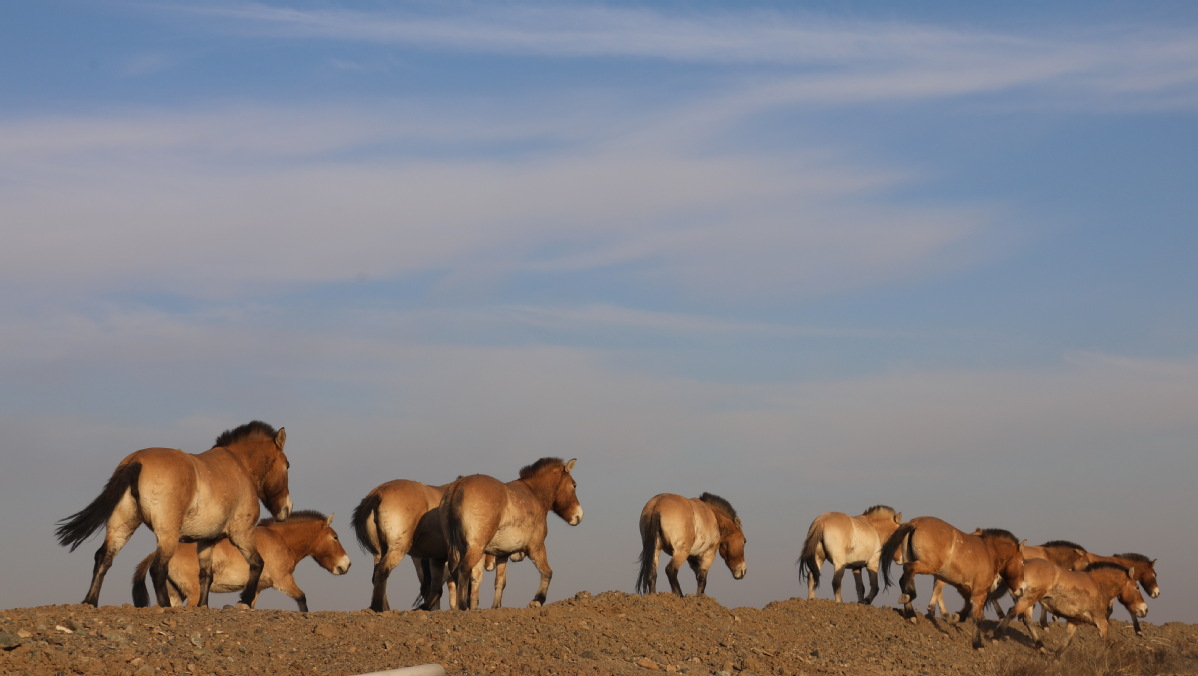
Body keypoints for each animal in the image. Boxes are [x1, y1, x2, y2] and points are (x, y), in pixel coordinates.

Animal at [53, 421, 292, 606]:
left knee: (104, 557)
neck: (238, 466)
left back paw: (90, 601)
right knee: (157, 568)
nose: (286, 509)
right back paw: (165, 606)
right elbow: (257, 563)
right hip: (167, 534)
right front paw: (244, 600)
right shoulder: (242, 533)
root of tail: (136, 460)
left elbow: (206, 575)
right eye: (287, 465)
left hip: (122, 525)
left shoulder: (206, 540)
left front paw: (203, 606)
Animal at [130, 512, 349, 613]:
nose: (346, 565)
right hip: (193, 594)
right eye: (335, 537)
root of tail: (155, 554)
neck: (280, 538)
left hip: (176, 594)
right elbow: (302, 599)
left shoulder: (257, 589)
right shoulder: (283, 580)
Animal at [445, 457, 584, 608]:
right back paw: (462, 607)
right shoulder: (536, 547)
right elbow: (547, 572)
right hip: (476, 548)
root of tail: (458, 485)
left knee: (455, 573)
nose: (579, 515)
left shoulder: (502, 554)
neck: (533, 493)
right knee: (464, 569)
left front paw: (496, 607)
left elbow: (500, 583)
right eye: (574, 485)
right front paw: (537, 600)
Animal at [881, 517, 1030, 647]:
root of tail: (916, 522)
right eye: (1022, 562)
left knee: (904, 579)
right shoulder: (980, 593)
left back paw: (911, 614)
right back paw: (909, 597)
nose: (1021, 589)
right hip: (927, 565)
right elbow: (976, 617)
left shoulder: (965, 589)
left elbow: (966, 612)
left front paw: (953, 617)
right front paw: (978, 644)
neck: (989, 552)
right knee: (909, 570)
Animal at [991, 556, 1150, 652]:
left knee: (1027, 620)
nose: (1145, 610)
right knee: (1012, 611)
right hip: (1030, 597)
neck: (1097, 584)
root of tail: (1024, 563)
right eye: (1137, 587)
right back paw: (995, 637)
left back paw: (1041, 647)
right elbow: (1108, 643)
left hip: (1030, 600)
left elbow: (1065, 643)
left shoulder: (1075, 621)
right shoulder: (1101, 622)